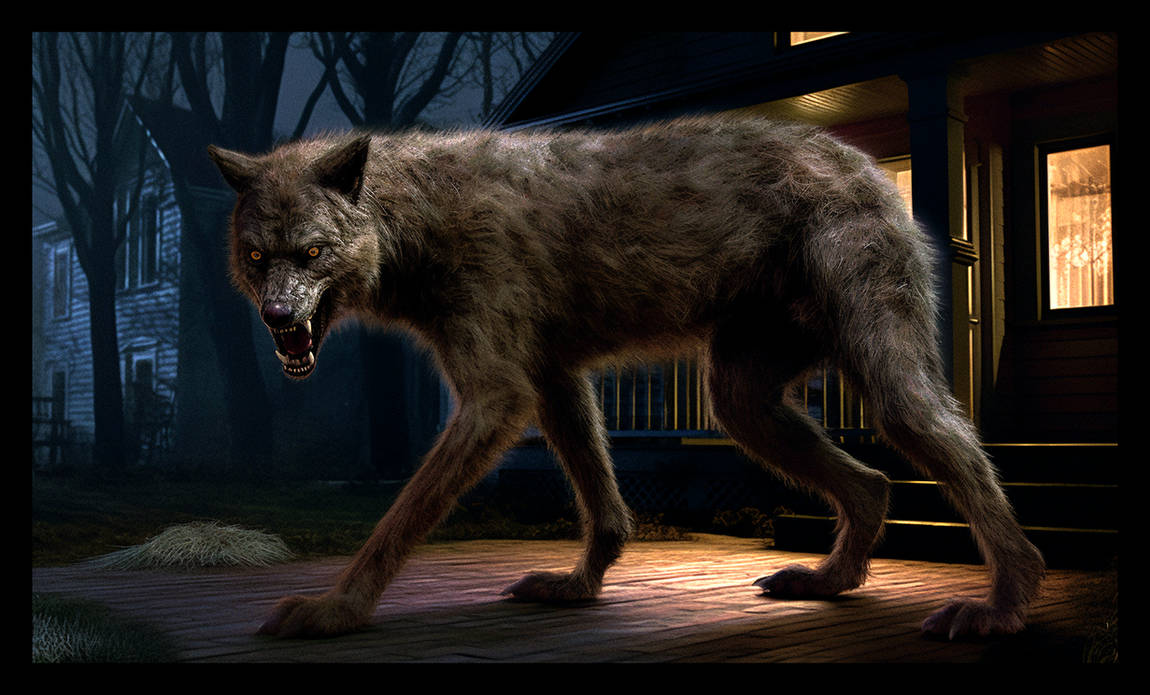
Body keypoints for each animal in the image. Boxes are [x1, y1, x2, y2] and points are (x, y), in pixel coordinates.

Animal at [207, 115, 1044, 641]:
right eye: (257, 256)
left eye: (312, 253)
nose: (278, 317)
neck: (412, 215)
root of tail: (865, 161)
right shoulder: (553, 379)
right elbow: (605, 505)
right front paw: (578, 586)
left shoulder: (497, 397)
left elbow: (399, 518)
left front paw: (336, 609)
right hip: (740, 400)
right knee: (870, 481)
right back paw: (828, 579)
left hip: (885, 381)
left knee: (959, 460)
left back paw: (1001, 607)